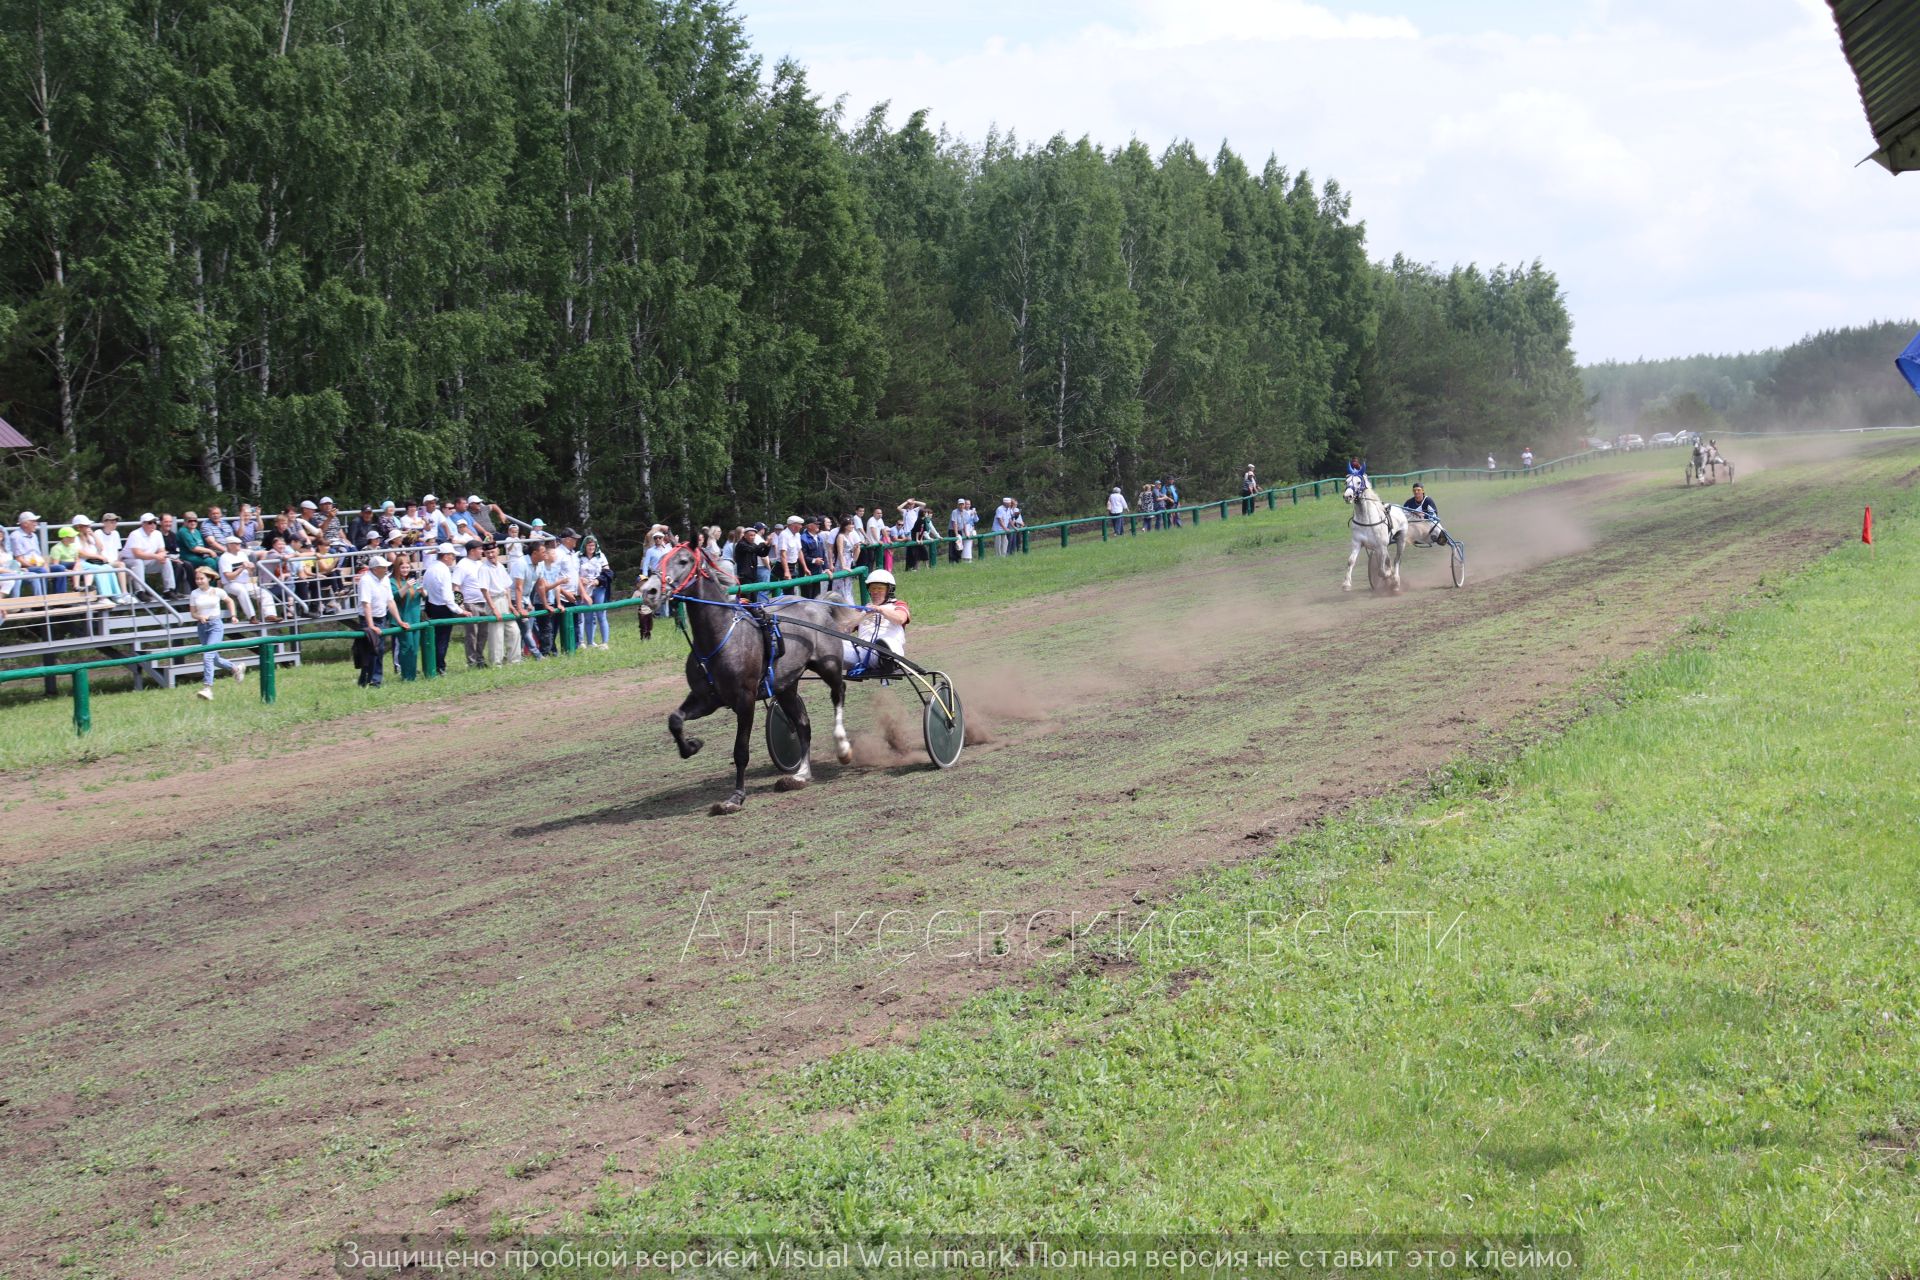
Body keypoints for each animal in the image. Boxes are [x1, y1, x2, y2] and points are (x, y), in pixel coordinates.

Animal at [641, 545, 860, 817]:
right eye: (657, 560)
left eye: (683, 561)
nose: (649, 591)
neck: (720, 636)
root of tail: (817, 605)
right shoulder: (705, 699)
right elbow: (675, 720)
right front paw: (691, 746)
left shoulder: (745, 700)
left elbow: (741, 751)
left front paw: (736, 797)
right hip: (786, 686)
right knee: (802, 724)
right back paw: (801, 774)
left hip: (828, 666)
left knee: (839, 692)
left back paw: (842, 746)